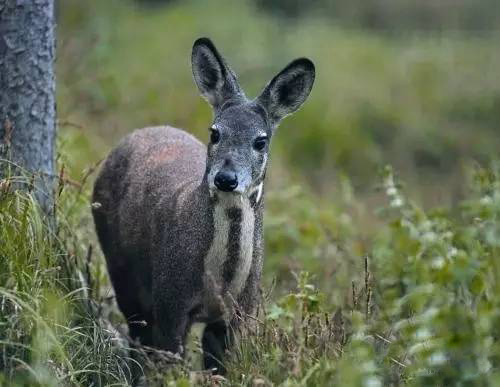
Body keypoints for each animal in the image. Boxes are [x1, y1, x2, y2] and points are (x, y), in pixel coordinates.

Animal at [92, 37, 314, 372]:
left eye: (260, 141)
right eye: (215, 132)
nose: (225, 178)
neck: (219, 282)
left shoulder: (237, 314)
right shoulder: (170, 301)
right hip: (120, 267)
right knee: (137, 336)